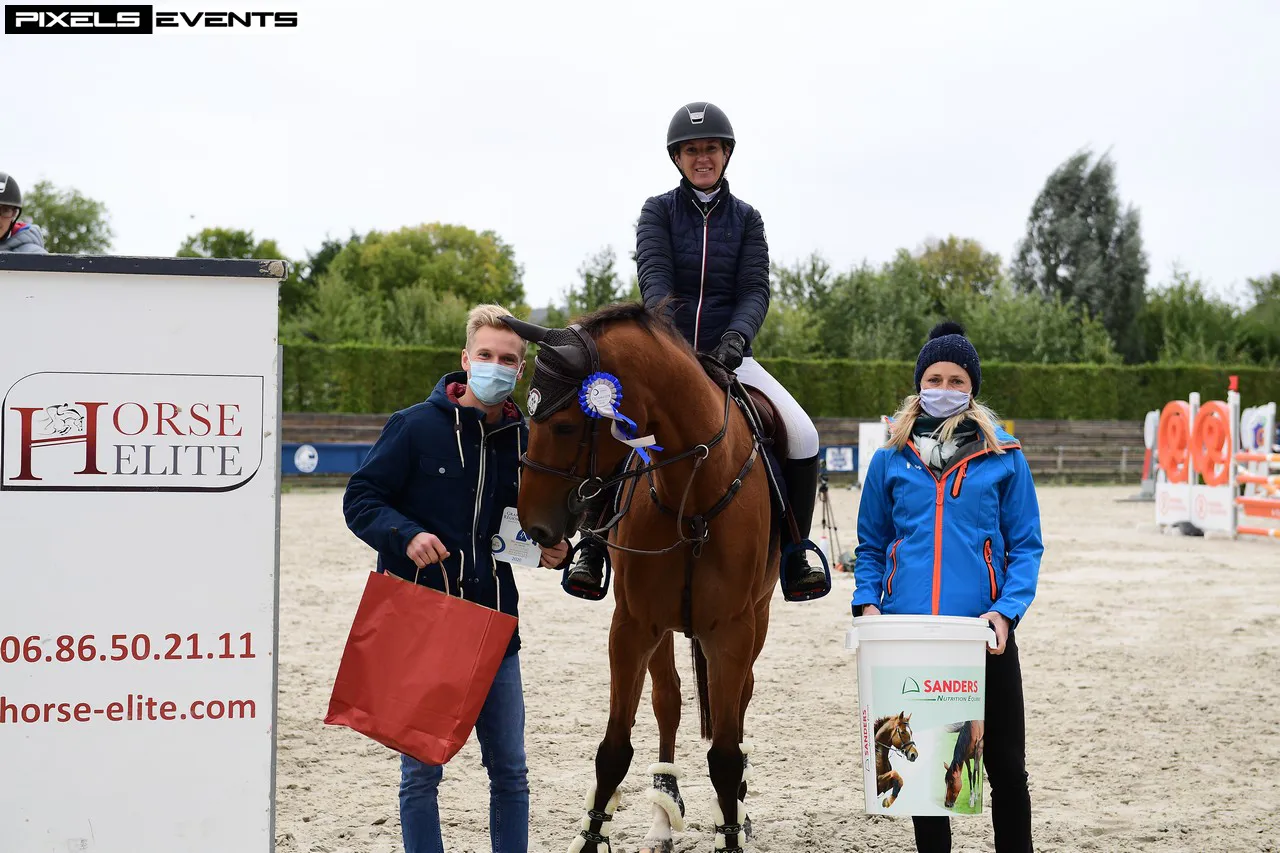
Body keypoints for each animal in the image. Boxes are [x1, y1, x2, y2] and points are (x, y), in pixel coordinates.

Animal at [502, 303, 790, 853]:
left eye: (566, 426)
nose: (535, 526)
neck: (691, 496)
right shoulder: (634, 625)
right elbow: (614, 748)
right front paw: (591, 837)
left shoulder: (732, 630)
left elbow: (724, 754)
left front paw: (732, 826)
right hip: (664, 627)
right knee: (669, 700)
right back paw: (663, 811)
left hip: (757, 619)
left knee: (739, 699)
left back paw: (737, 807)